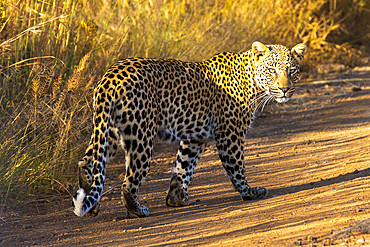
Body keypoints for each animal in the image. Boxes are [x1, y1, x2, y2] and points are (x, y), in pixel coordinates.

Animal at [72, 41, 306, 217]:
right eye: (272, 70)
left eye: (292, 71)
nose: (285, 89)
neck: (252, 80)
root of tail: (110, 76)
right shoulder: (230, 134)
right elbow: (237, 167)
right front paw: (249, 192)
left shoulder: (195, 138)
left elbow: (183, 167)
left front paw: (176, 199)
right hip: (141, 135)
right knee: (128, 182)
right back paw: (137, 210)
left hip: (108, 129)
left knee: (87, 161)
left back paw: (92, 204)